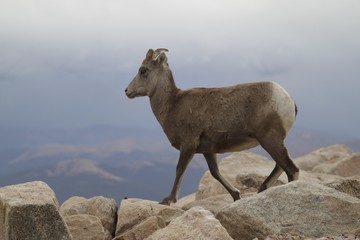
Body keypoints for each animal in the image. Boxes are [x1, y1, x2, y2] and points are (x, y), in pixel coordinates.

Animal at [125, 48, 300, 204]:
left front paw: (168, 200)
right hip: (273, 142)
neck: (172, 104)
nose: (127, 91)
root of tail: (288, 99)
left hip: (270, 140)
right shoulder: (208, 150)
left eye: (143, 71)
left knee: (291, 169)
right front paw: (236, 196)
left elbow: (179, 169)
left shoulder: (188, 145)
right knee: (280, 165)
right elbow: (215, 172)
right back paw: (261, 189)